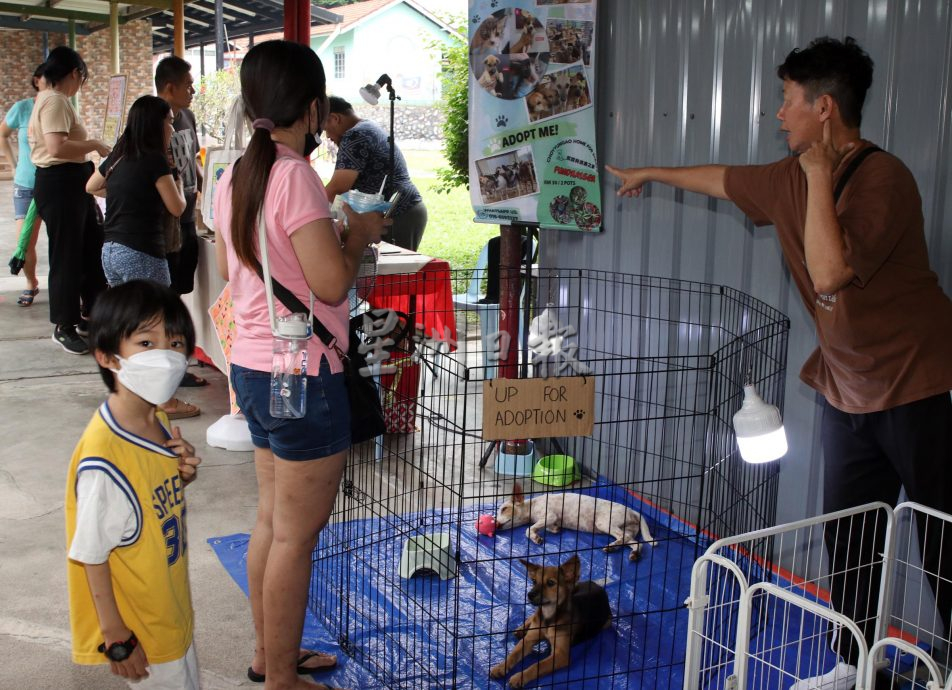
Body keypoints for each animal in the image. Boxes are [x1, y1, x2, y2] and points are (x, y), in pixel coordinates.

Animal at [488, 552, 612, 688]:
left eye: (551, 583)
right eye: (534, 581)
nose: (529, 595)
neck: (549, 616)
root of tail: (597, 585)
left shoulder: (561, 655)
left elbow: (537, 665)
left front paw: (519, 677)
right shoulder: (528, 639)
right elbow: (513, 654)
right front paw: (500, 667)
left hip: (607, 622)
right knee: (533, 616)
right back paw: (521, 629)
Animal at [490, 484, 656, 560]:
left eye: (504, 509)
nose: (495, 524)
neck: (532, 505)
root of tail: (634, 511)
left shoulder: (550, 515)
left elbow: (529, 529)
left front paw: (536, 537)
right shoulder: (551, 520)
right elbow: (547, 527)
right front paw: (554, 530)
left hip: (604, 523)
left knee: (623, 537)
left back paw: (611, 547)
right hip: (627, 530)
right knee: (636, 542)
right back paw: (632, 553)